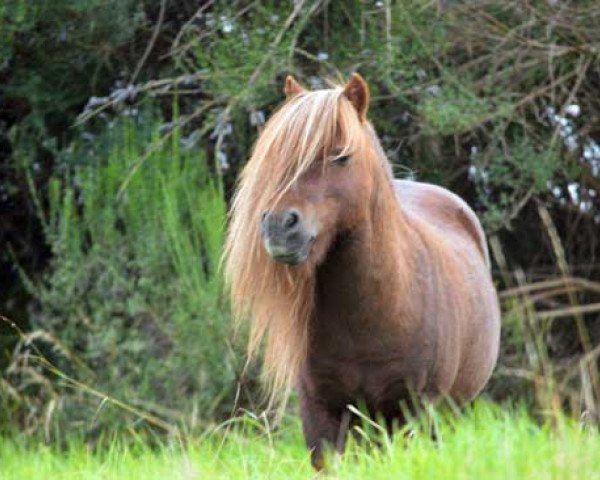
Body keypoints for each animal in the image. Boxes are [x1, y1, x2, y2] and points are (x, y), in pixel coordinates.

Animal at [223, 72, 500, 468]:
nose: (279, 226)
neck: (372, 314)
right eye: (278, 156)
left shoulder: (414, 411)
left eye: (341, 156)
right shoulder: (321, 415)